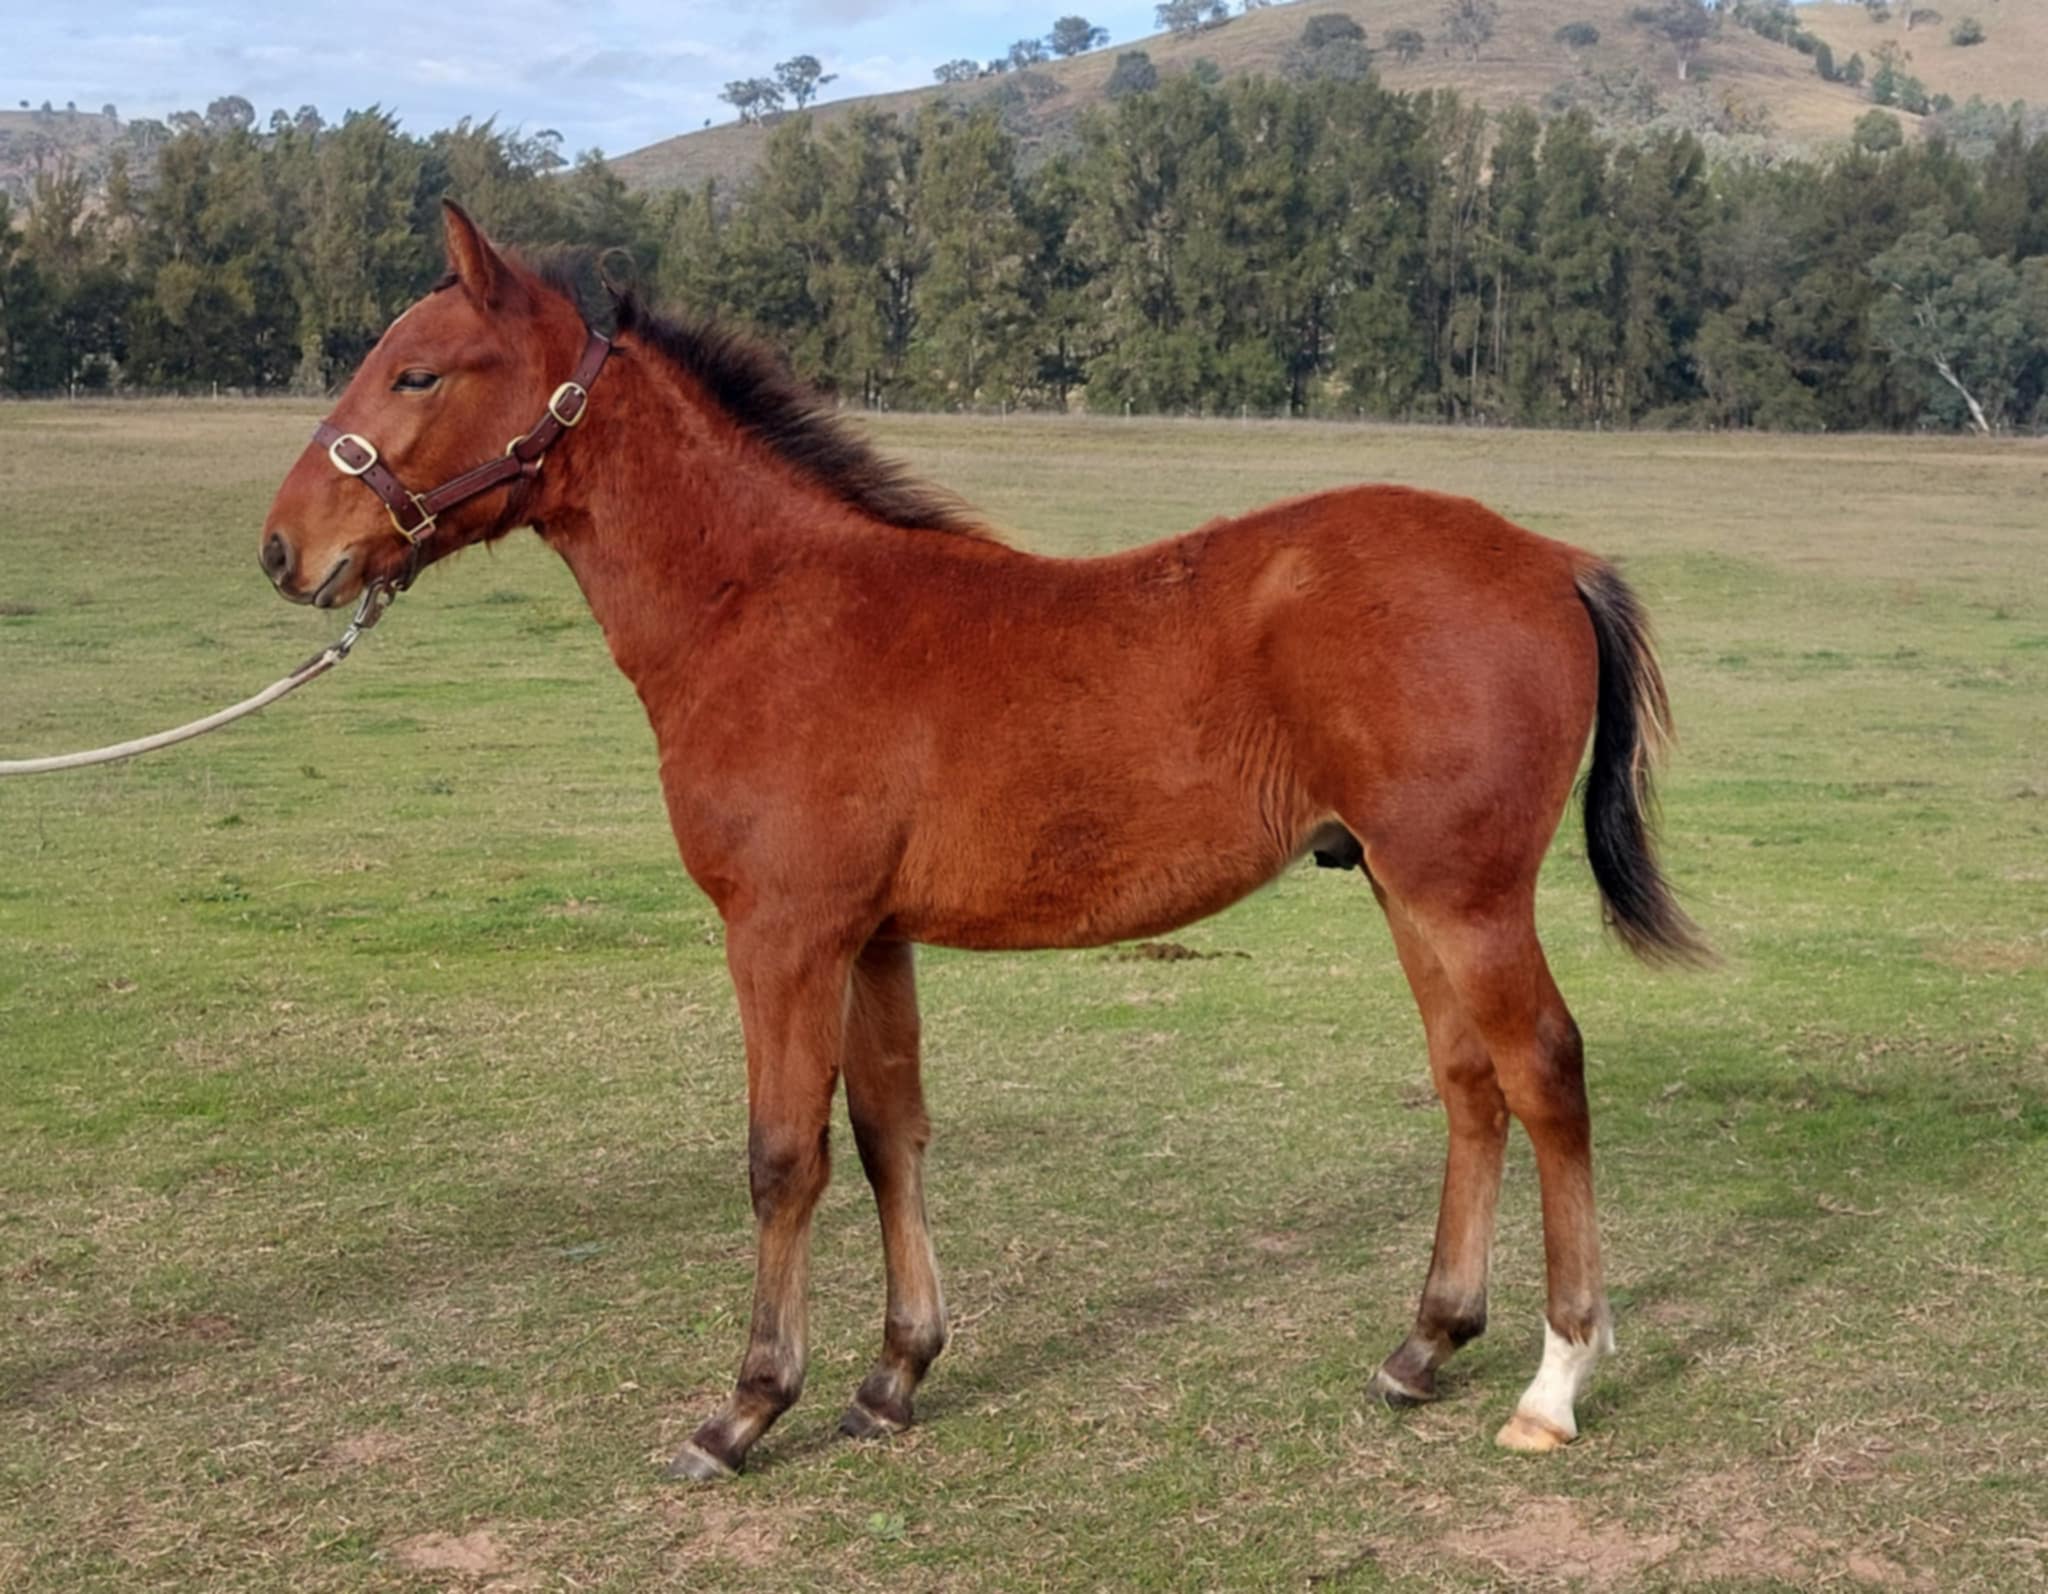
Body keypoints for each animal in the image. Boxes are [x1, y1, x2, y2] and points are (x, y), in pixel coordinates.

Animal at [259, 202, 1707, 1481]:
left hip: (1467, 894)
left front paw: (744, 1409)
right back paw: (1423, 1344)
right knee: (1470, 1081)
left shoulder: (781, 932)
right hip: (1407, 892)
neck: (762, 606)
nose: (284, 548)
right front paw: (894, 1373)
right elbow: (888, 1130)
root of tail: (1551, 557)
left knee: (1545, 1069)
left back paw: (1553, 1380)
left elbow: (782, 1157)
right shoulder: (868, 936)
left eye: (417, 370)